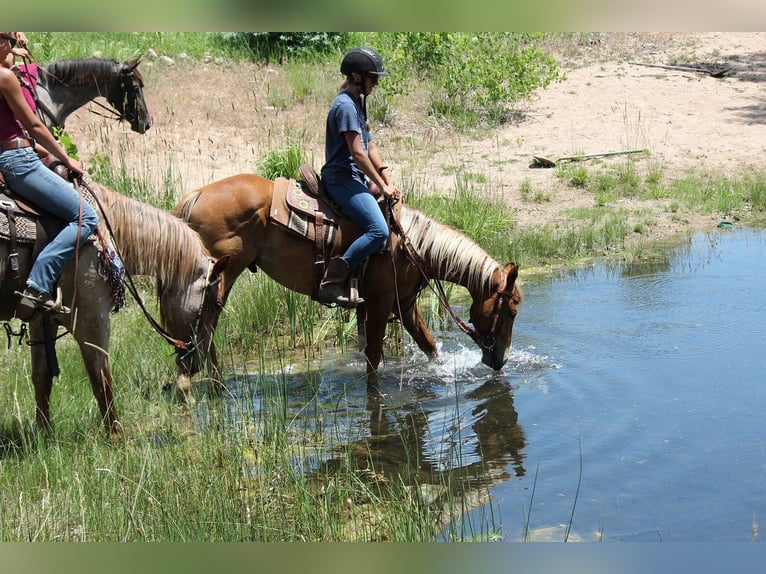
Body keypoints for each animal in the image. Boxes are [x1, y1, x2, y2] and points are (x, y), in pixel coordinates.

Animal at [0, 181, 227, 438]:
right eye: (216, 304)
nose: (198, 362)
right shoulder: (91, 317)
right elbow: (101, 379)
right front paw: (117, 437)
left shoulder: (42, 320)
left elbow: (42, 378)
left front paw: (44, 436)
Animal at [172, 173, 522, 386]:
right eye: (511, 311)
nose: (500, 360)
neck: (412, 246)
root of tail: (197, 194)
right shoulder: (380, 304)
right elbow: (373, 359)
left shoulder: (406, 305)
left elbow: (429, 345)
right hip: (222, 275)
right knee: (206, 322)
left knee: (206, 325)